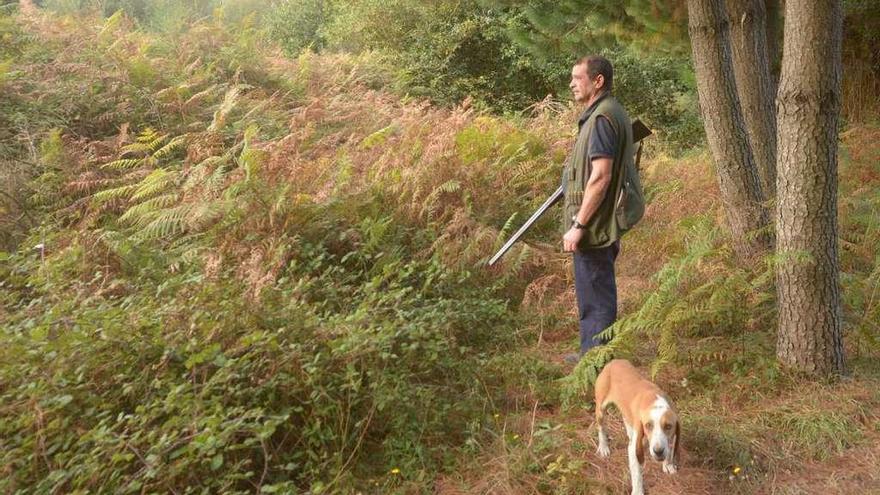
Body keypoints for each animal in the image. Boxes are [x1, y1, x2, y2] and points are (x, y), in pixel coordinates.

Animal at [592, 360, 680, 495]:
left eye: (668, 426)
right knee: (601, 429)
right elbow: (637, 475)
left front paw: (668, 465)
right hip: (601, 410)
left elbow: (669, 450)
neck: (655, 403)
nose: (658, 451)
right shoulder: (634, 449)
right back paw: (603, 447)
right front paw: (638, 491)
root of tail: (613, 362)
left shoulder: (670, 438)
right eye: (648, 425)